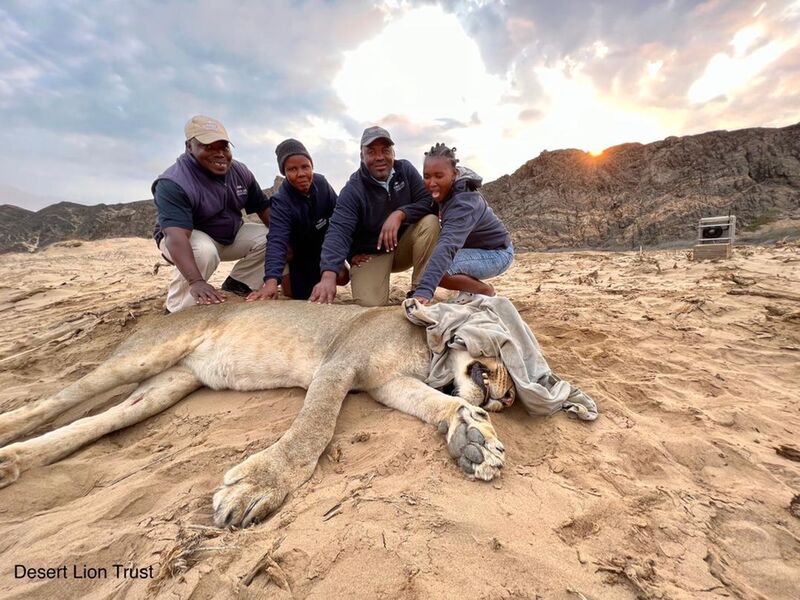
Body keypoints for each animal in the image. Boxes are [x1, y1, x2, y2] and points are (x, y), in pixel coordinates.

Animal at [0, 302, 512, 528]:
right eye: (506, 348)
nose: (507, 399)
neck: (428, 352)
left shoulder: (387, 384)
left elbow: (443, 404)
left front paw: (473, 439)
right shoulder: (340, 363)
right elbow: (314, 427)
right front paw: (259, 485)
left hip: (167, 385)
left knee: (95, 421)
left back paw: (14, 461)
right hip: (143, 355)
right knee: (55, 402)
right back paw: (8, 441)